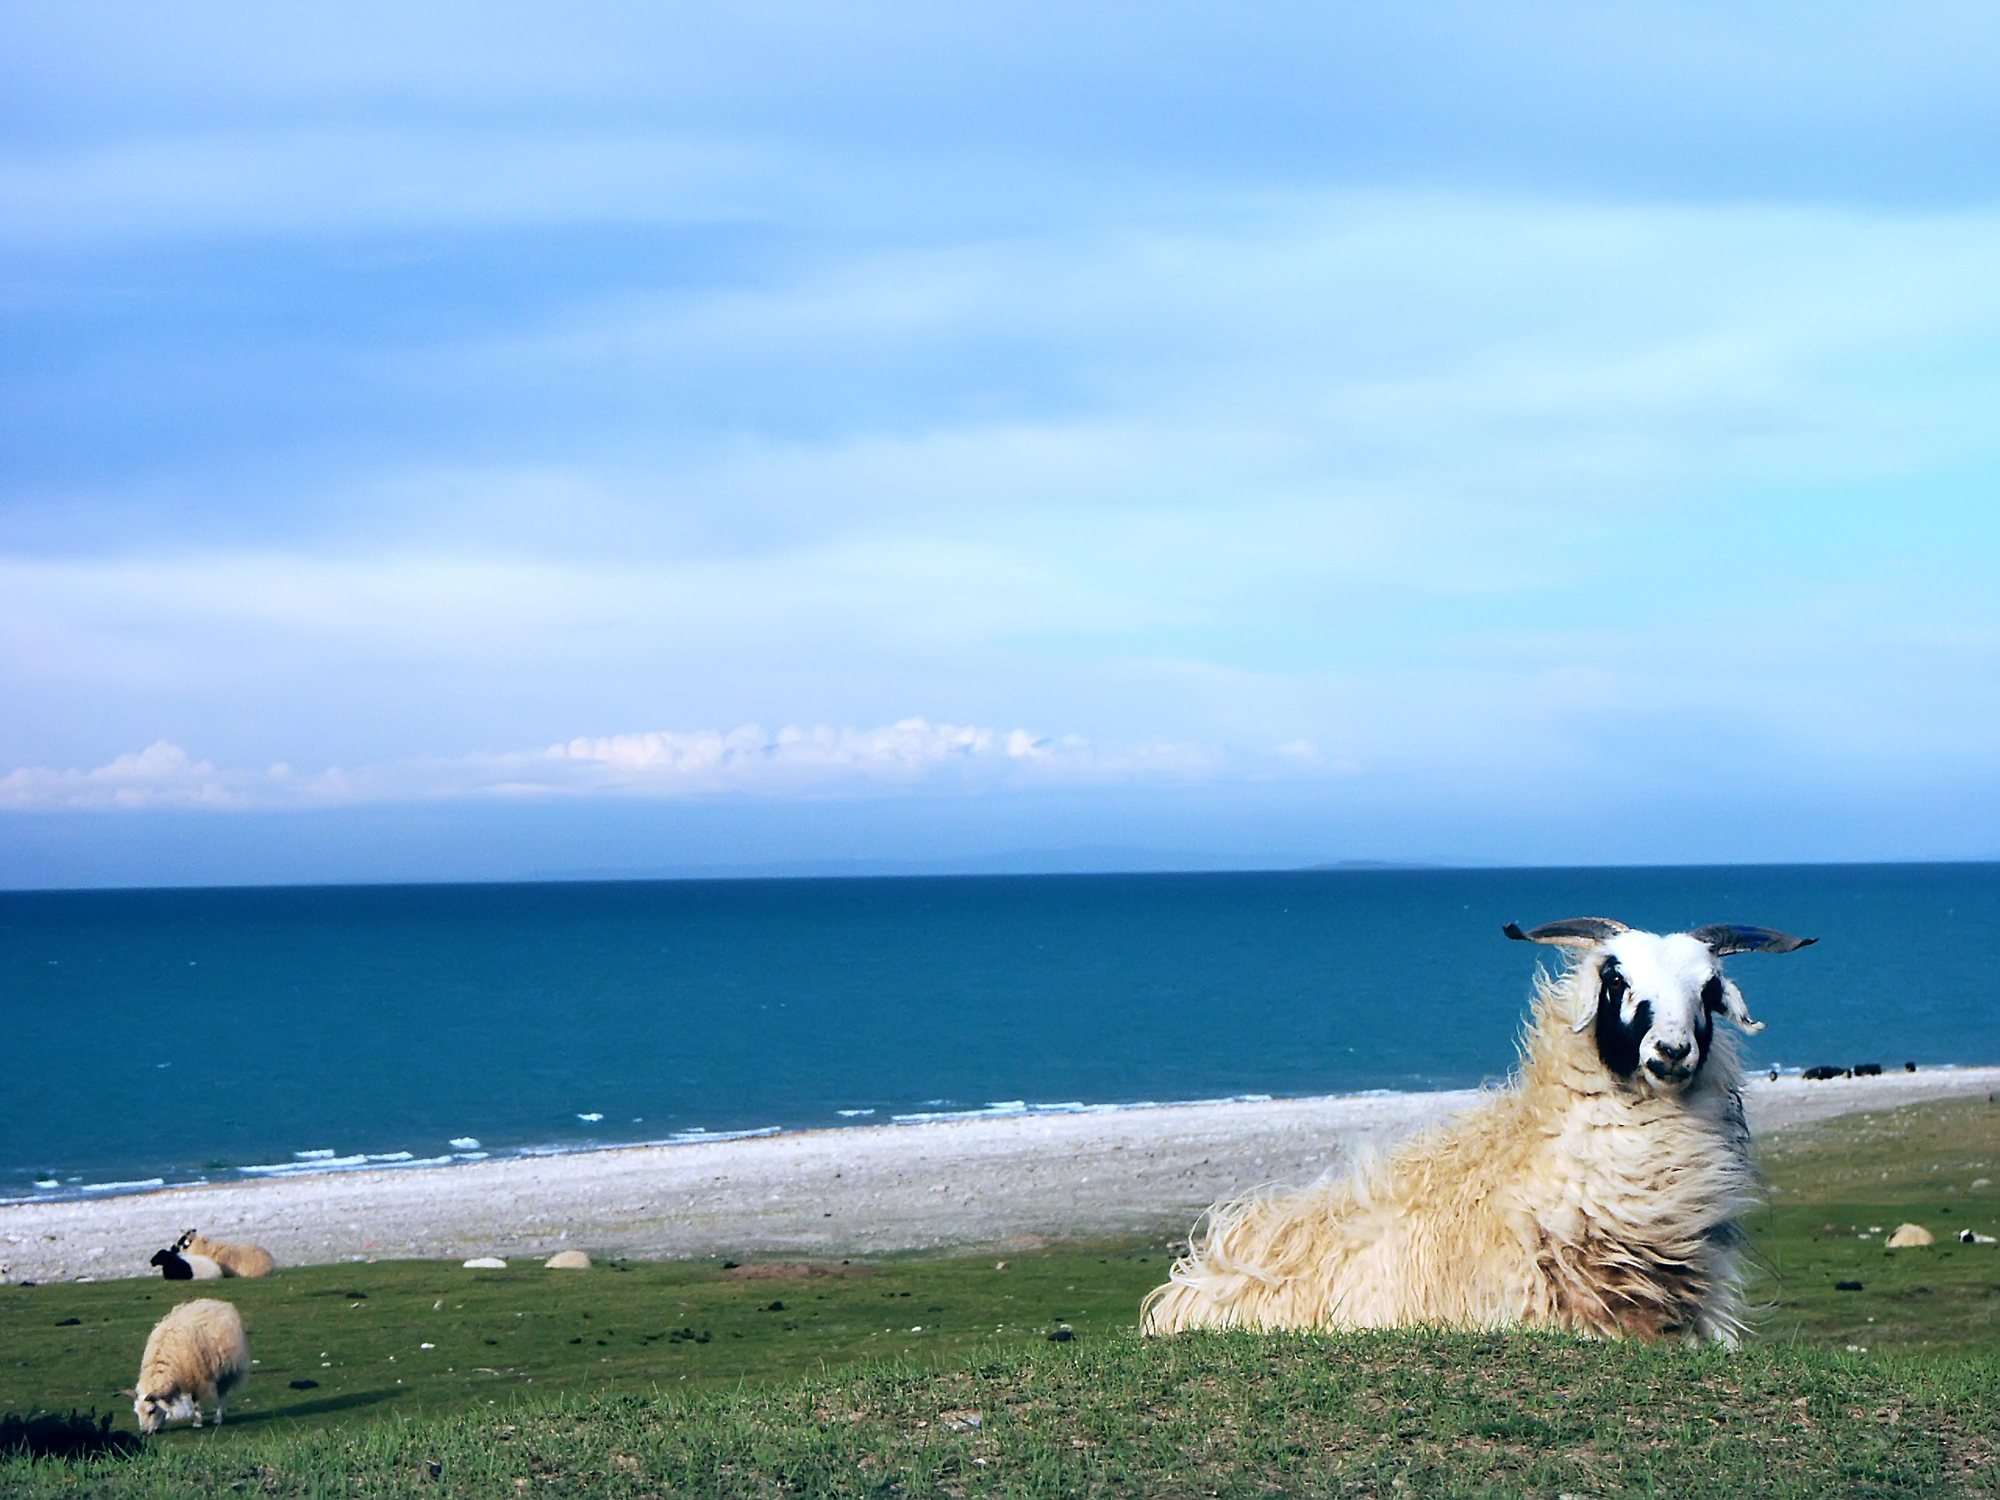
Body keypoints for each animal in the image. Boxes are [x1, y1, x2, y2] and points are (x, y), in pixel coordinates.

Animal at [135, 1296, 252, 1440]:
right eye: (137, 1413)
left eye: (151, 1411)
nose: (144, 1432)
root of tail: (218, 1303)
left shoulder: (194, 1376)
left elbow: (195, 1401)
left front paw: (197, 1422)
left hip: (226, 1368)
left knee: (222, 1393)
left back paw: (218, 1417)